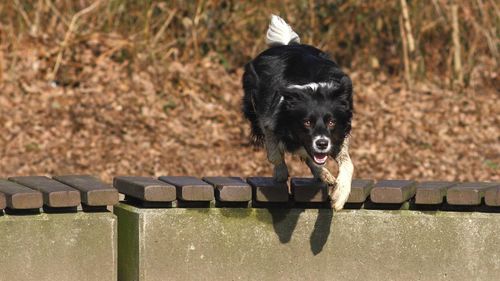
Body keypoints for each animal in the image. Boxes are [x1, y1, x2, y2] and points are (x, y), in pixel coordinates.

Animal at [241, 14, 352, 209]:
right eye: (307, 122)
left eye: (332, 122)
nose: (322, 144)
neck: (315, 90)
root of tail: (286, 44)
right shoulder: (271, 120)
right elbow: (276, 151)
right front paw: (281, 171)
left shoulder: (339, 132)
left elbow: (347, 163)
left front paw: (340, 195)